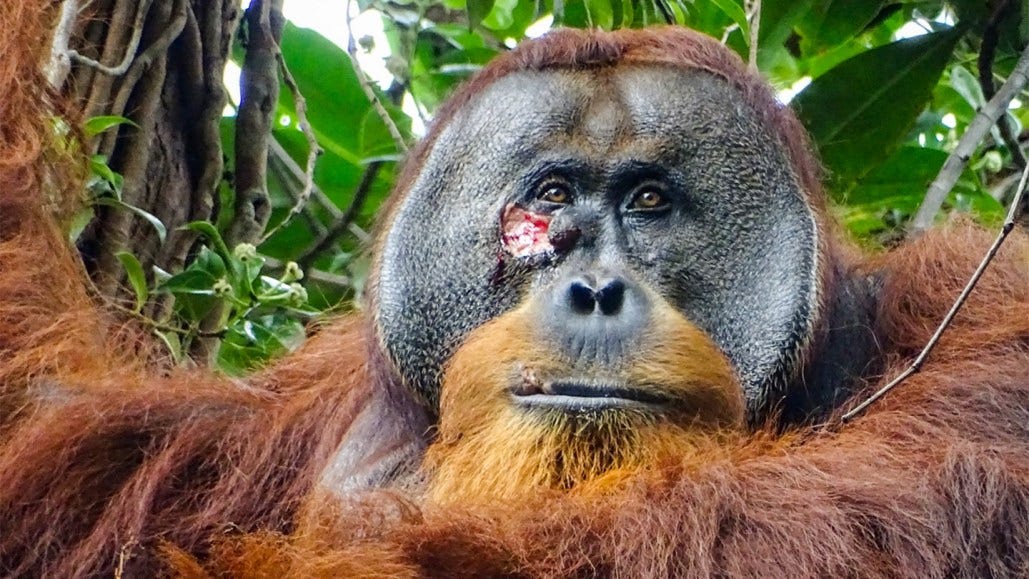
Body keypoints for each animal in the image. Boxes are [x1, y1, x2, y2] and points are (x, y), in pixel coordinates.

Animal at [1, 16, 1027, 578]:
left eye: (647, 201)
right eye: (553, 196)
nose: (595, 287)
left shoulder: (963, 309)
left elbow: (919, 498)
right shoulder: (274, 422)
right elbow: (51, 428)